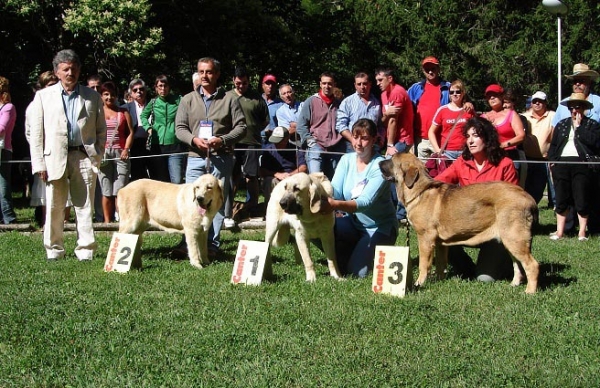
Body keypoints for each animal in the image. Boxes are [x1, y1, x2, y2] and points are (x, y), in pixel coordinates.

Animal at [382, 153, 540, 292]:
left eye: (391, 160)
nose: (379, 162)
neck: (419, 191)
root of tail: (528, 198)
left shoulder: (425, 238)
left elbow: (424, 264)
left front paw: (419, 283)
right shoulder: (440, 244)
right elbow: (440, 264)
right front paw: (439, 281)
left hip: (514, 238)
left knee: (532, 265)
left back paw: (529, 292)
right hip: (510, 241)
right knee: (517, 264)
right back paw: (514, 284)